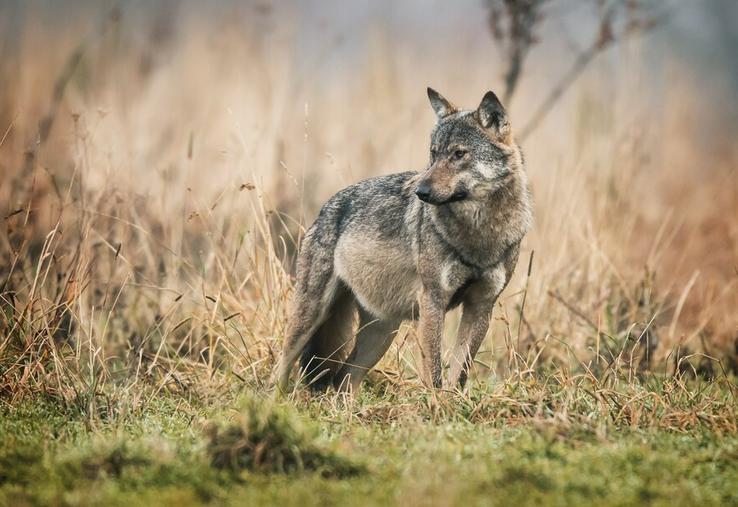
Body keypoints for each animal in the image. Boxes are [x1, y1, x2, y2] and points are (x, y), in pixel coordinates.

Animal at [274, 88, 532, 393]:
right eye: (433, 153)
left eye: (459, 154)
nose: (421, 191)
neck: (479, 234)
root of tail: (327, 207)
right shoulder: (432, 300)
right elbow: (433, 371)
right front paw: (435, 403)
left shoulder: (482, 305)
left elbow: (460, 372)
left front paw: (453, 401)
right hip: (312, 315)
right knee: (282, 365)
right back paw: (272, 397)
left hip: (380, 335)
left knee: (344, 380)